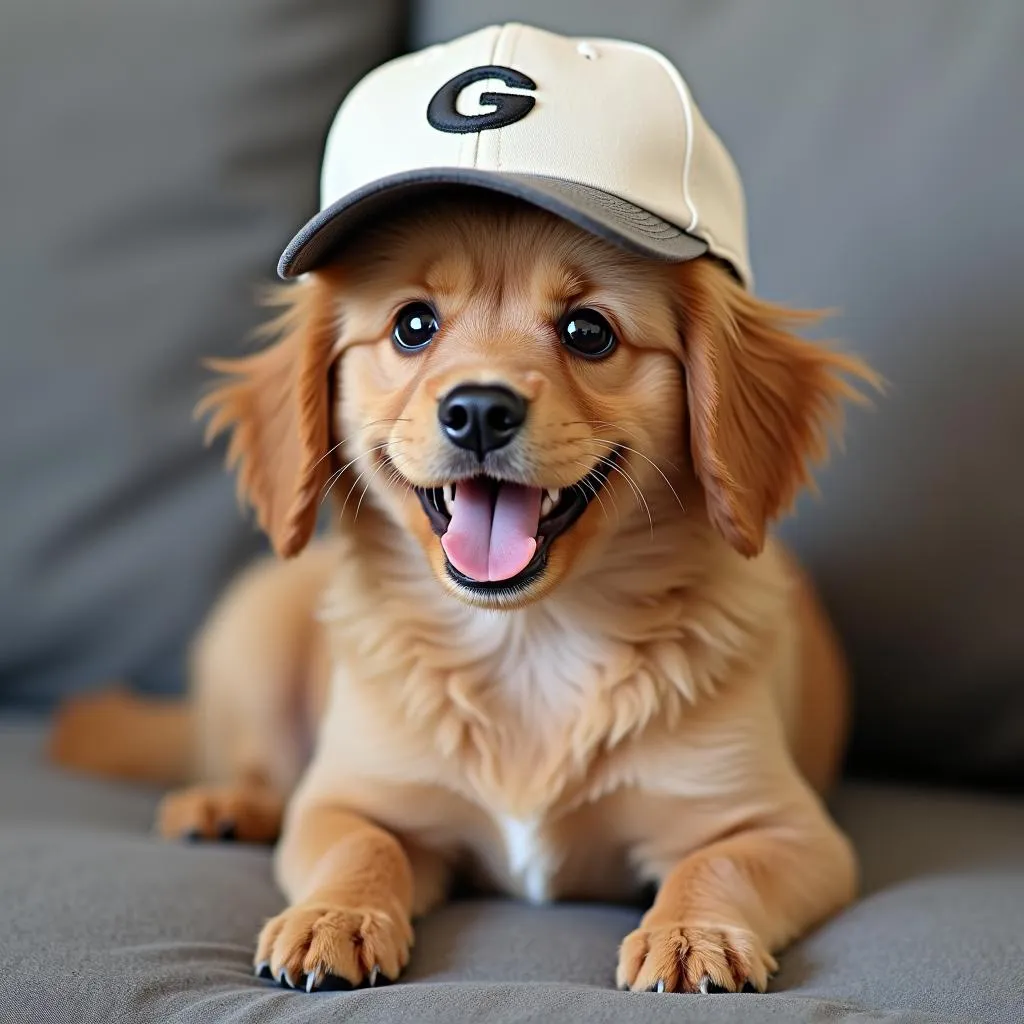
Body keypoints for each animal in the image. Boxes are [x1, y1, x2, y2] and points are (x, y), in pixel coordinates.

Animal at [49, 186, 880, 991]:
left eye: (589, 331)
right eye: (413, 325)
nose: (479, 410)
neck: (529, 642)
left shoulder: (787, 827)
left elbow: (718, 863)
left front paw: (690, 933)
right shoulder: (347, 797)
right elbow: (359, 846)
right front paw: (333, 917)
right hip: (252, 634)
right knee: (259, 764)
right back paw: (227, 804)